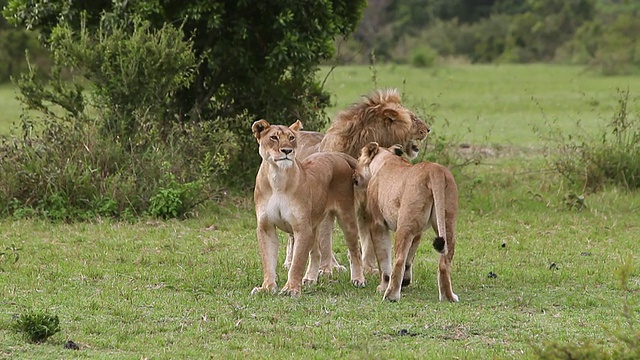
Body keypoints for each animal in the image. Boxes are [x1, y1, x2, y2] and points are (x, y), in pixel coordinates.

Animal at [252, 119, 368, 296]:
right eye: (274, 137)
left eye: (292, 138)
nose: (287, 150)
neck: (277, 177)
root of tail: (336, 155)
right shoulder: (266, 227)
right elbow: (268, 262)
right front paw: (267, 288)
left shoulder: (302, 228)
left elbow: (297, 262)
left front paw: (291, 289)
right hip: (315, 224)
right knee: (316, 253)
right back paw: (310, 279)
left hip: (346, 218)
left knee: (355, 250)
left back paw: (358, 279)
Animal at [282, 88, 430, 274]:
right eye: (414, 118)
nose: (428, 129)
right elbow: (325, 239)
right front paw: (326, 269)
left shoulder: (367, 205)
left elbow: (368, 241)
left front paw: (369, 268)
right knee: (294, 235)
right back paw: (291, 262)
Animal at [352, 142, 458, 302]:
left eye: (358, 158)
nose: (353, 175)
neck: (386, 159)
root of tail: (435, 170)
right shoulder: (418, 231)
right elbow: (410, 256)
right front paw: (406, 281)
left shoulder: (378, 224)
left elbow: (384, 260)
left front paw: (382, 286)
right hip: (446, 223)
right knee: (444, 262)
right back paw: (448, 297)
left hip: (404, 226)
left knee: (399, 260)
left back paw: (390, 295)